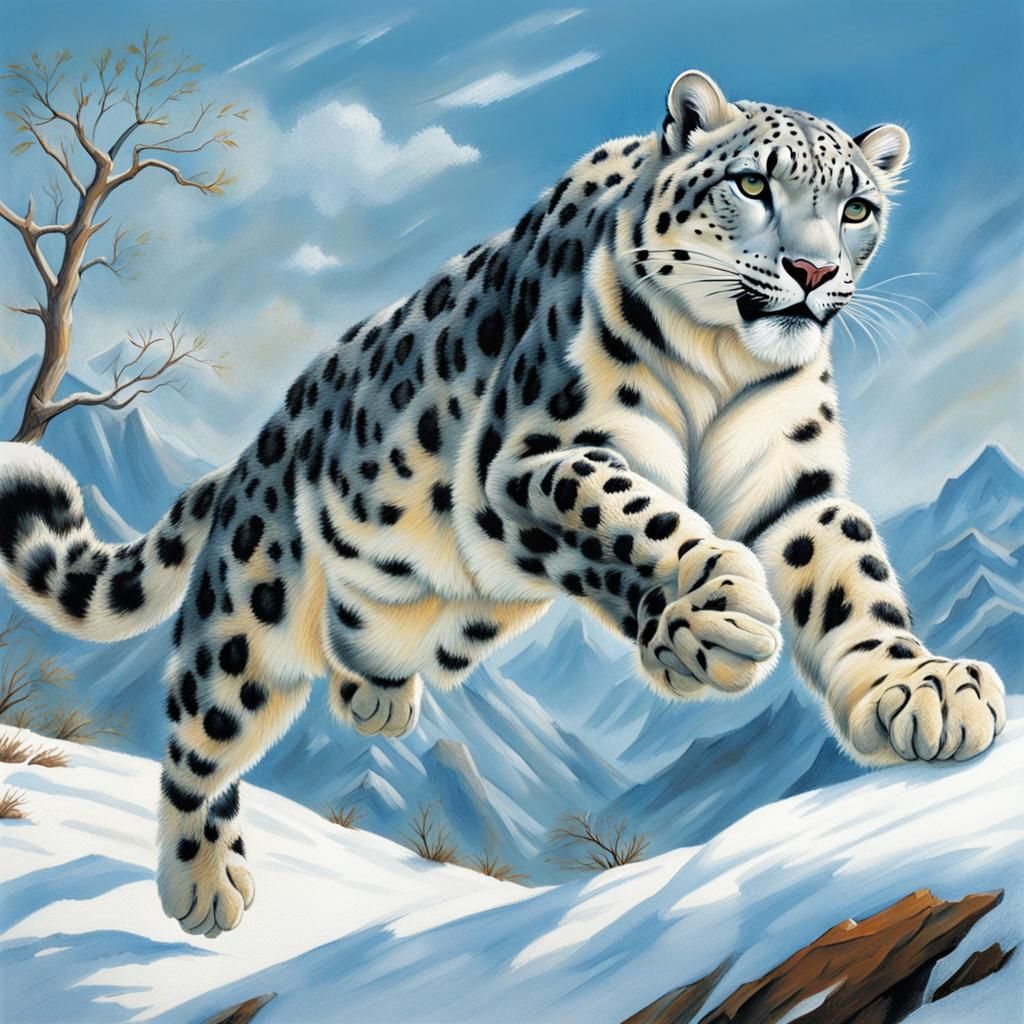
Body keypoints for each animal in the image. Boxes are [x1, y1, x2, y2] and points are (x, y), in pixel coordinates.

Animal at [0, 70, 1005, 938]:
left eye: (858, 209)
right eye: (753, 184)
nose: (811, 270)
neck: (724, 359)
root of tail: (252, 453)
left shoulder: (794, 488)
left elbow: (850, 579)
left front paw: (921, 689)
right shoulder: (536, 458)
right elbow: (638, 516)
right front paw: (714, 614)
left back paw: (375, 699)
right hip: (249, 626)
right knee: (195, 741)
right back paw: (202, 885)